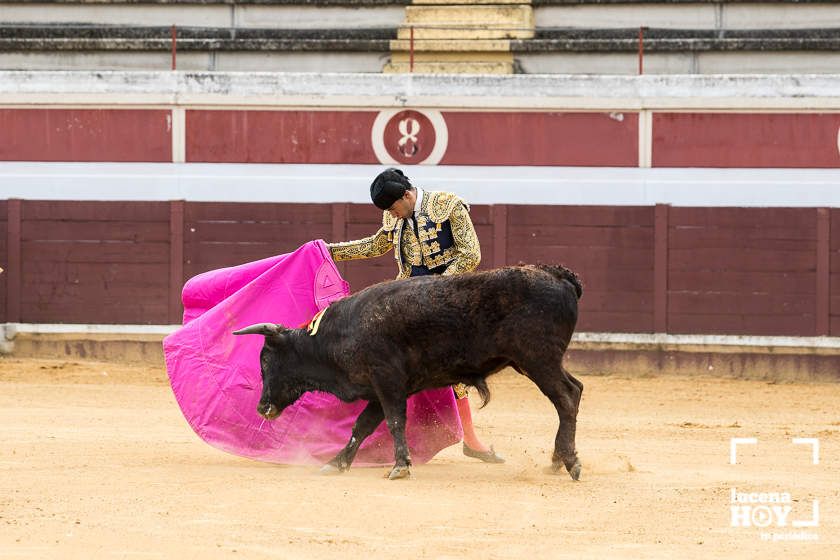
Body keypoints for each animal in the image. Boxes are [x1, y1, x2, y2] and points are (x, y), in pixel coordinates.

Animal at [233, 264, 580, 480]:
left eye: (265, 362)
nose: (262, 408)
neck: (339, 335)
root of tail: (558, 275)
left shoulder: (388, 381)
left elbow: (395, 422)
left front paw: (400, 466)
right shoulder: (378, 389)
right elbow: (362, 426)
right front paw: (337, 463)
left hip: (538, 360)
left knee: (565, 399)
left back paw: (570, 461)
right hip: (537, 362)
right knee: (575, 390)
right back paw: (557, 460)